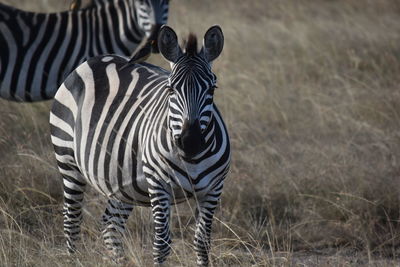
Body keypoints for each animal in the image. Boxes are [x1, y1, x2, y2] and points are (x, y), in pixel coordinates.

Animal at [49, 24, 231, 266]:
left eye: (212, 89)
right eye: (170, 89)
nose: (190, 142)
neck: (192, 160)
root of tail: (96, 59)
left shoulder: (214, 189)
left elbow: (202, 243)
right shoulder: (159, 185)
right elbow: (161, 244)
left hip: (122, 181)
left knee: (111, 225)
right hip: (67, 160)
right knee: (72, 220)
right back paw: (72, 258)